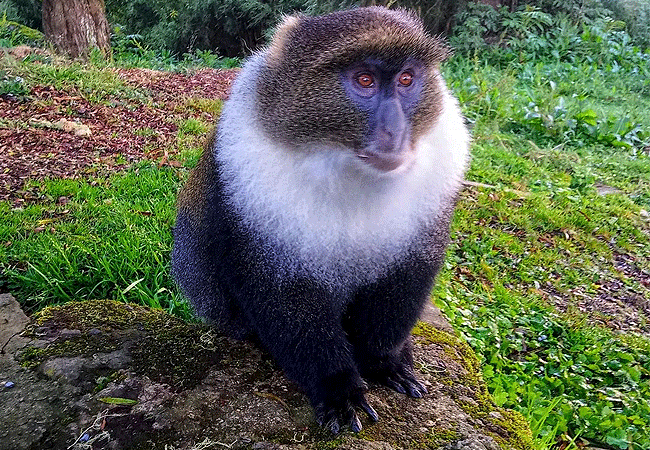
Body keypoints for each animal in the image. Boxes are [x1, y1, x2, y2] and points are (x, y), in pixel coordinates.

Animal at [170, 7, 468, 434]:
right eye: (365, 80)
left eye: (407, 79)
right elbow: (285, 299)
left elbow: (400, 287)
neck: (346, 168)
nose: (394, 131)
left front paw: (386, 362)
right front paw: (337, 388)